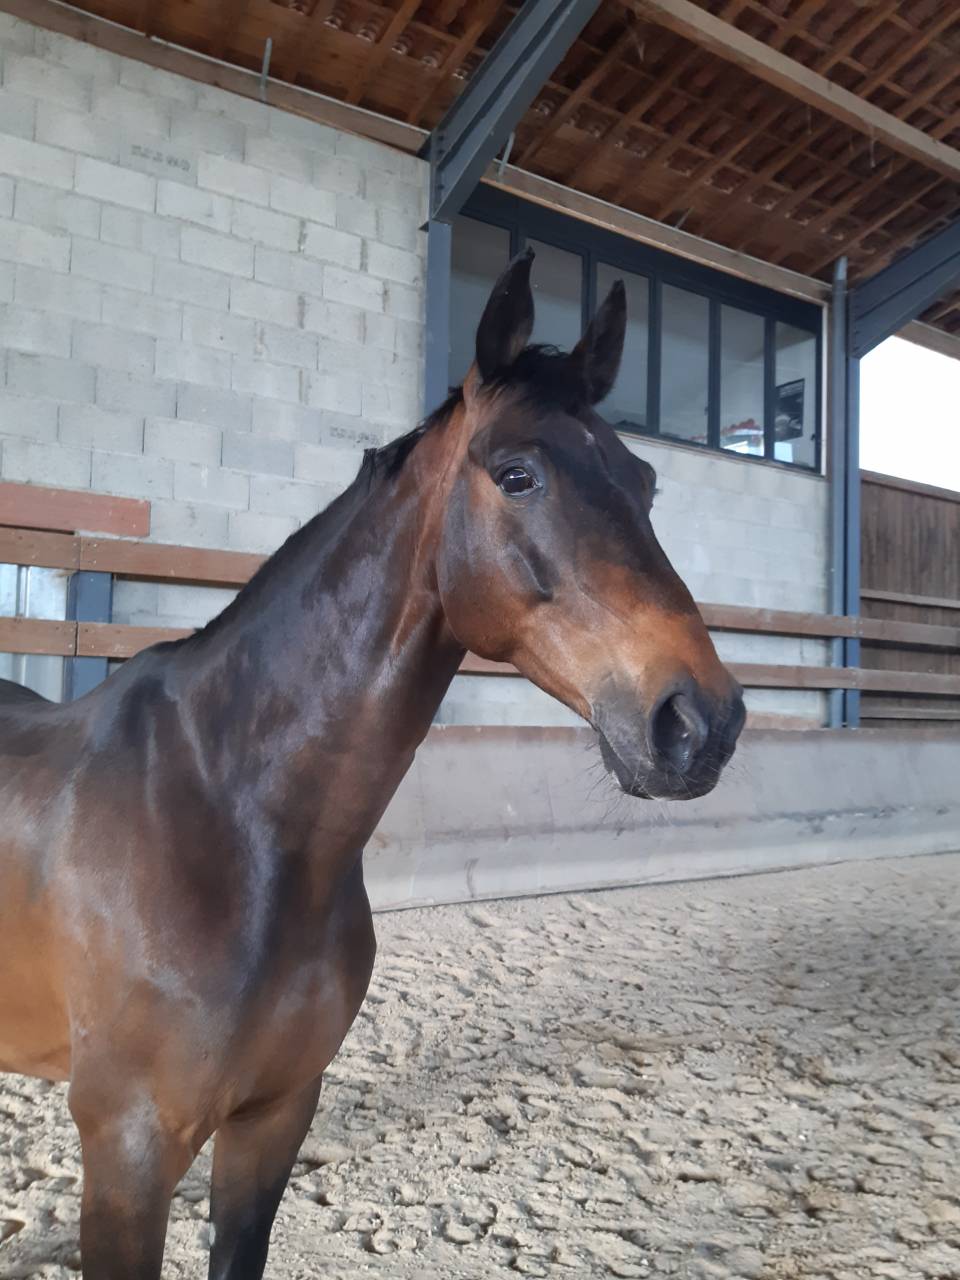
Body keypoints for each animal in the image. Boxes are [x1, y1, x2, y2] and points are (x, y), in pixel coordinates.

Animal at [0, 249, 745, 1279]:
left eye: (644, 482)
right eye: (517, 474)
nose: (699, 722)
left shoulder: (273, 1119)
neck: (227, 816)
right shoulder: (129, 1152)